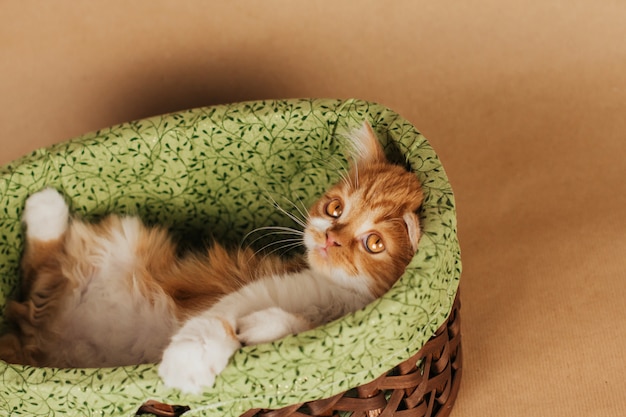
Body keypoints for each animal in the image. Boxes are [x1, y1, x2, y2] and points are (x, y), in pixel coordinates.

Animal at [156, 122, 422, 390]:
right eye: (335, 208)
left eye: (375, 243)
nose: (330, 238)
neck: (339, 298)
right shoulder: (269, 285)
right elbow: (226, 306)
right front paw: (191, 354)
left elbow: (299, 329)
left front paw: (261, 327)